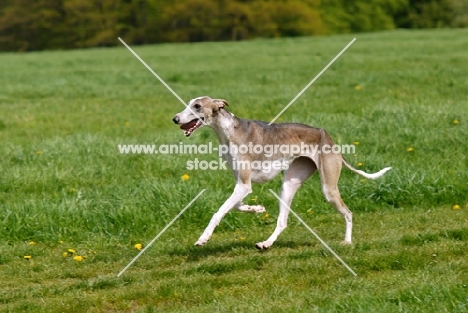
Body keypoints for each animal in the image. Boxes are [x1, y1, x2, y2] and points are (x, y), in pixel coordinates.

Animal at [172, 95, 392, 249]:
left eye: (197, 106)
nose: (175, 118)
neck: (229, 131)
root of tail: (329, 138)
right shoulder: (241, 184)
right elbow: (237, 206)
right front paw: (257, 209)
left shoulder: (243, 186)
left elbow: (218, 213)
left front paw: (203, 238)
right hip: (289, 183)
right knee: (282, 221)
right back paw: (265, 244)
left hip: (328, 188)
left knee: (348, 213)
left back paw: (347, 241)